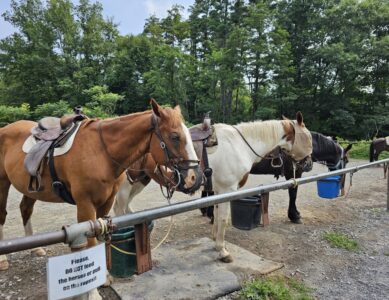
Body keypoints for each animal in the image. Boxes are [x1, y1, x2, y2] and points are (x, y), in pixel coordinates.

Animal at [0, 99, 200, 270]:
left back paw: (35, 248)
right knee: (3, 215)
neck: (101, 152)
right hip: (3, 184)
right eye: (174, 136)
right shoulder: (85, 205)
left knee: (26, 209)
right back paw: (3, 259)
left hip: (31, 188)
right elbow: (92, 242)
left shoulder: (106, 202)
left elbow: (103, 237)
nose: (194, 177)